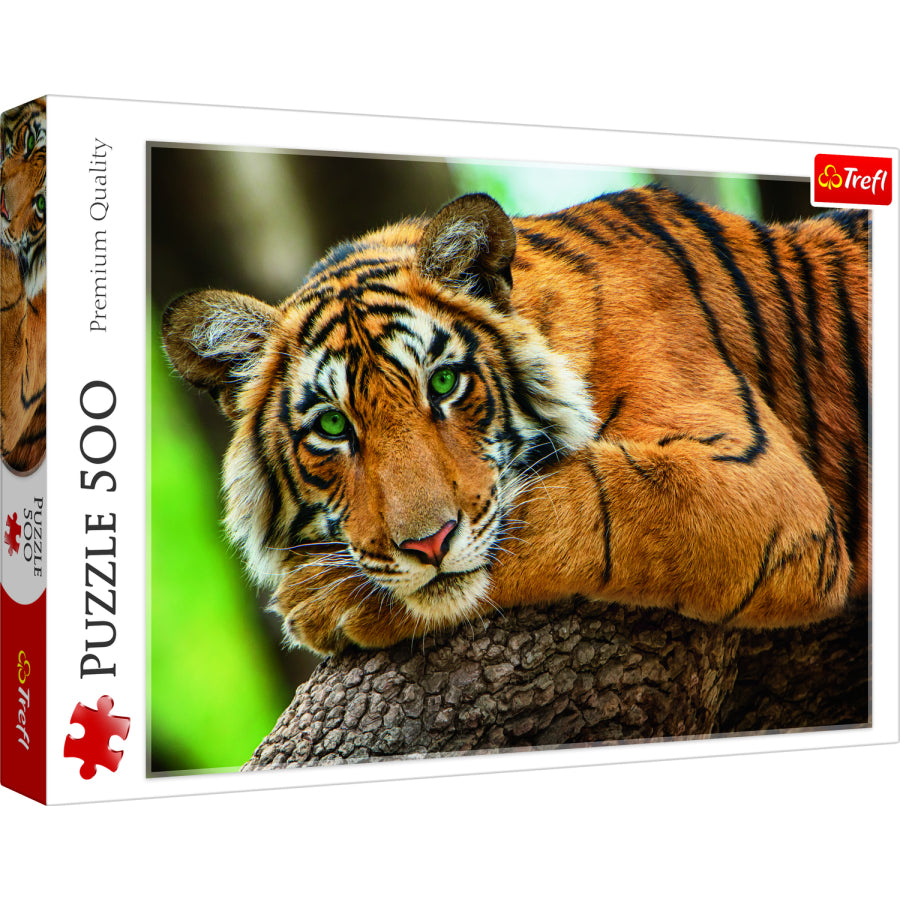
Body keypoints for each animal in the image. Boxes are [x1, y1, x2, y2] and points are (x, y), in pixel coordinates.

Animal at [162, 185, 869, 656]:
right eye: (333, 428)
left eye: (444, 383)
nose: (428, 545)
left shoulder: (758, 482)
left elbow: (579, 503)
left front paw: (321, 598)